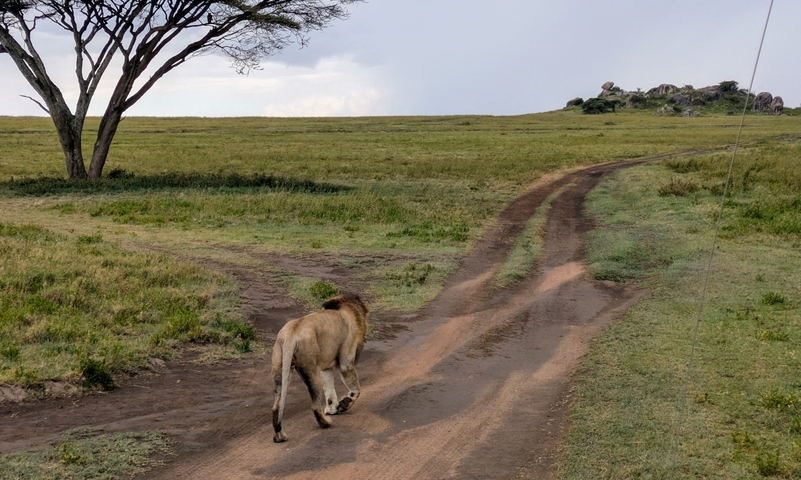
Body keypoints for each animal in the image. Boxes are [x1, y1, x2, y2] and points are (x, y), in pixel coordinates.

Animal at [271, 293, 370, 443]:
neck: (347, 308)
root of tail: (291, 333)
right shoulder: (346, 362)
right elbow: (356, 389)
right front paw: (344, 405)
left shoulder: (326, 369)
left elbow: (329, 391)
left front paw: (332, 409)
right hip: (311, 370)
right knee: (315, 405)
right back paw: (326, 423)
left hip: (280, 369)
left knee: (276, 406)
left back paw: (280, 436)